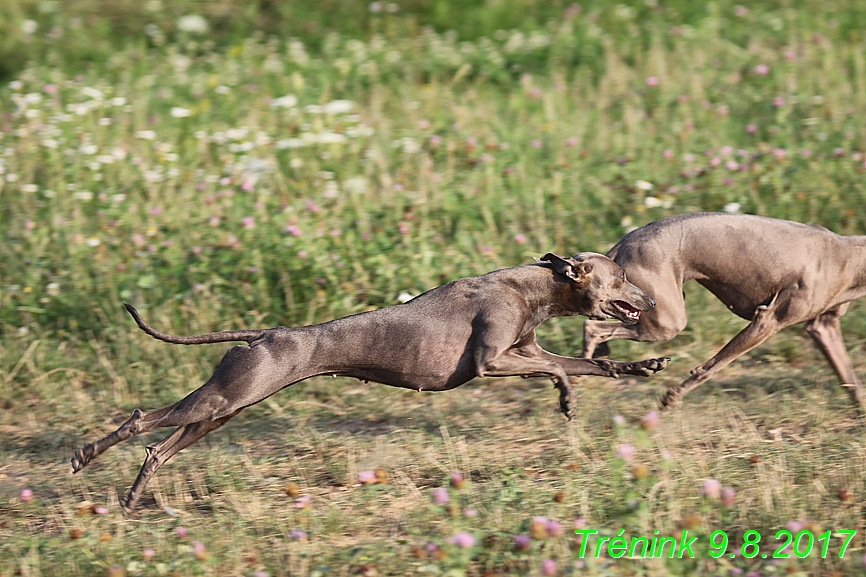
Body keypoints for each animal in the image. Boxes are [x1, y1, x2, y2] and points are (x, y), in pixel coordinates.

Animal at [74, 252, 668, 512]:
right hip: (226, 396)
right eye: (621, 277)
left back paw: (132, 497)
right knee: (141, 421)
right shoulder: (491, 362)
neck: (533, 286)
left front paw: (641, 367)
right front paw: (566, 401)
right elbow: (561, 369)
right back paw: (84, 455)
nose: (651, 300)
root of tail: (265, 334)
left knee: (158, 448)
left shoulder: (524, 351)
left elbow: (588, 364)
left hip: (225, 408)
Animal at [580, 213, 864, 410]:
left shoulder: (824, 327)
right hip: (667, 320)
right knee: (592, 327)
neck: (850, 256)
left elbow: (849, 378)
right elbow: (712, 366)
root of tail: (624, 241)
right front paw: (673, 397)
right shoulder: (768, 320)